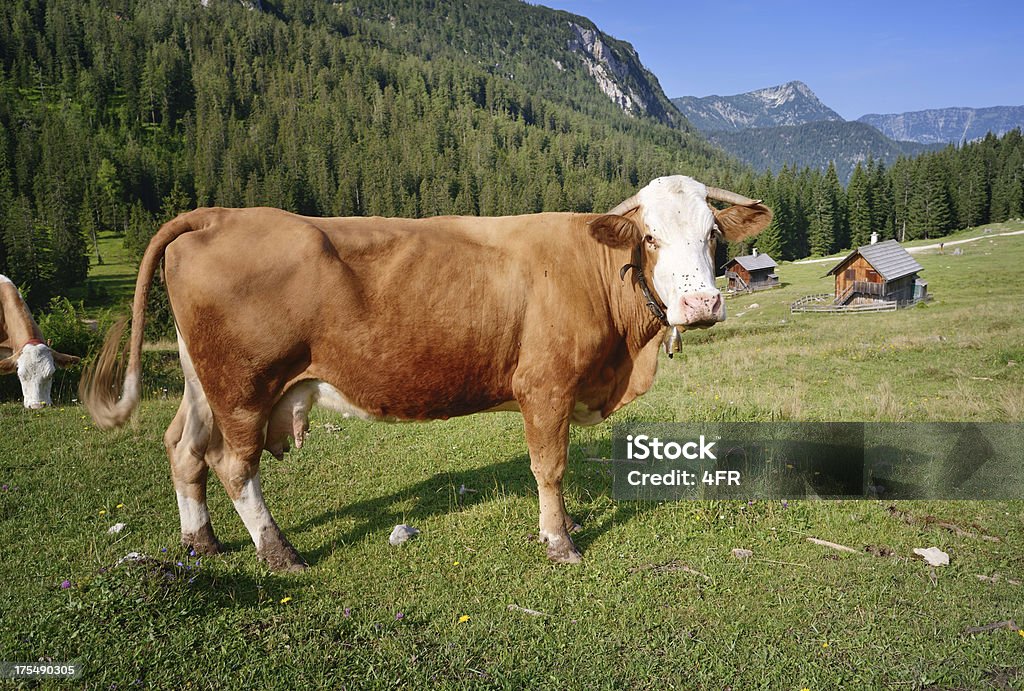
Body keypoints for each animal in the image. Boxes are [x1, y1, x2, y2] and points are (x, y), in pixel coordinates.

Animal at [81, 176, 770, 569]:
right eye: (649, 238)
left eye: (713, 233)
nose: (701, 304)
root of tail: (221, 214)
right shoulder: (546, 388)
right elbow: (550, 468)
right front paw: (560, 541)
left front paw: (568, 524)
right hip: (244, 388)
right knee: (231, 465)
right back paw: (279, 553)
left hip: (203, 383)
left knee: (184, 449)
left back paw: (201, 542)